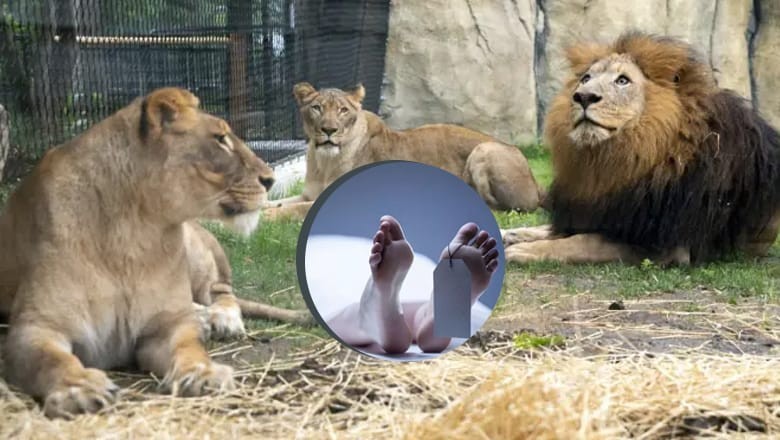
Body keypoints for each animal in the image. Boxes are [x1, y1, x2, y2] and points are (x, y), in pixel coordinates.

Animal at [0, 87, 298, 418]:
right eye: (220, 138)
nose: (270, 180)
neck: (133, 231)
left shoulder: (167, 326)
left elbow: (189, 348)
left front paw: (204, 373)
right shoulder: (35, 327)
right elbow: (53, 359)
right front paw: (80, 389)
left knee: (221, 290)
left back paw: (220, 319)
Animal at [264, 82, 543, 220]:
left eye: (343, 110)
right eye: (317, 108)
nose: (329, 130)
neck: (324, 161)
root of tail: (535, 180)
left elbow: (292, 210)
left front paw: (266, 217)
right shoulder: (307, 193)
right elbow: (279, 202)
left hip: (484, 149)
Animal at [502, 32, 780, 265]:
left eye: (622, 80)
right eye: (586, 78)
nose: (583, 96)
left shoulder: (664, 244)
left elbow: (583, 241)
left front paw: (526, 250)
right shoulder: (600, 212)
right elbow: (561, 230)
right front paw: (514, 235)